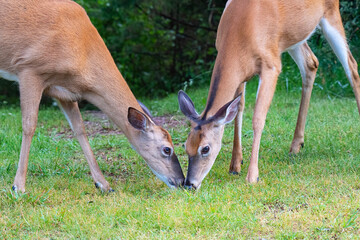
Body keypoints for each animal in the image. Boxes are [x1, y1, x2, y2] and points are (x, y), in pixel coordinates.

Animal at [0, 0, 184, 192]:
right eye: (167, 149)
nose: (181, 181)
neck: (83, 51)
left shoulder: (64, 92)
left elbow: (80, 129)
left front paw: (103, 184)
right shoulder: (29, 69)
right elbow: (29, 125)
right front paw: (18, 187)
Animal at [179, 0, 360, 190]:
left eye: (205, 148)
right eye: (186, 146)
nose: (189, 184)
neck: (240, 31)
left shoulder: (271, 65)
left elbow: (258, 118)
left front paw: (252, 176)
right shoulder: (242, 73)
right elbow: (239, 108)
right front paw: (235, 164)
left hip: (331, 15)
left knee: (352, 66)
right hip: (294, 37)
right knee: (311, 63)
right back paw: (296, 145)